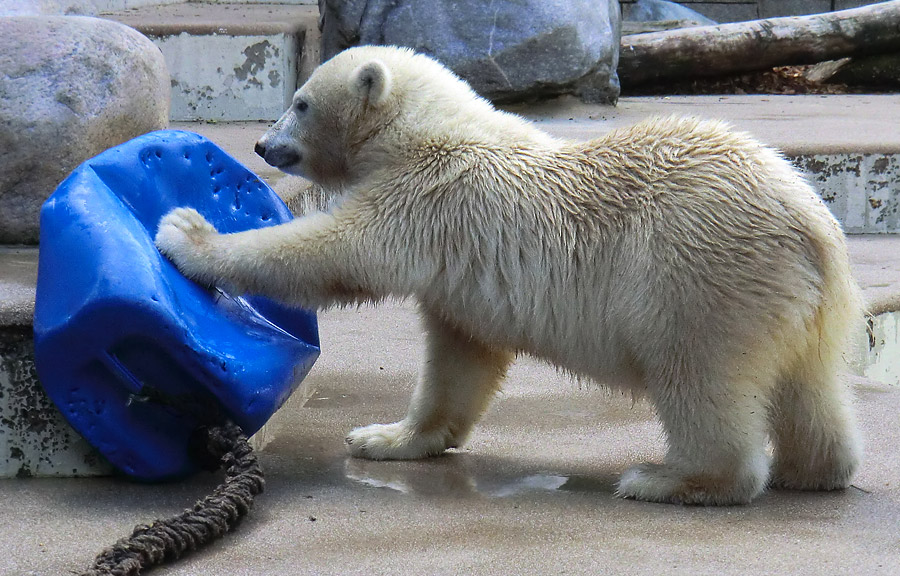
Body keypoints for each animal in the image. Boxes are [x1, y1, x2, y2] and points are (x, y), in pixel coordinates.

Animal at [156, 45, 864, 504]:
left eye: (300, 103)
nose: (260, 144)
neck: (426, 131)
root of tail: (812, 227)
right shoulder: (457, 264)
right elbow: (461, 355)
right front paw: (387, 436)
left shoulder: (427, 196)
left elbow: (334, 255)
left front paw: (186, 234)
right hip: (799, 305)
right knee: (809, 388)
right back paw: (816, 469)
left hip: (698, 273)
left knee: (696, 374)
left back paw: (669, 479)